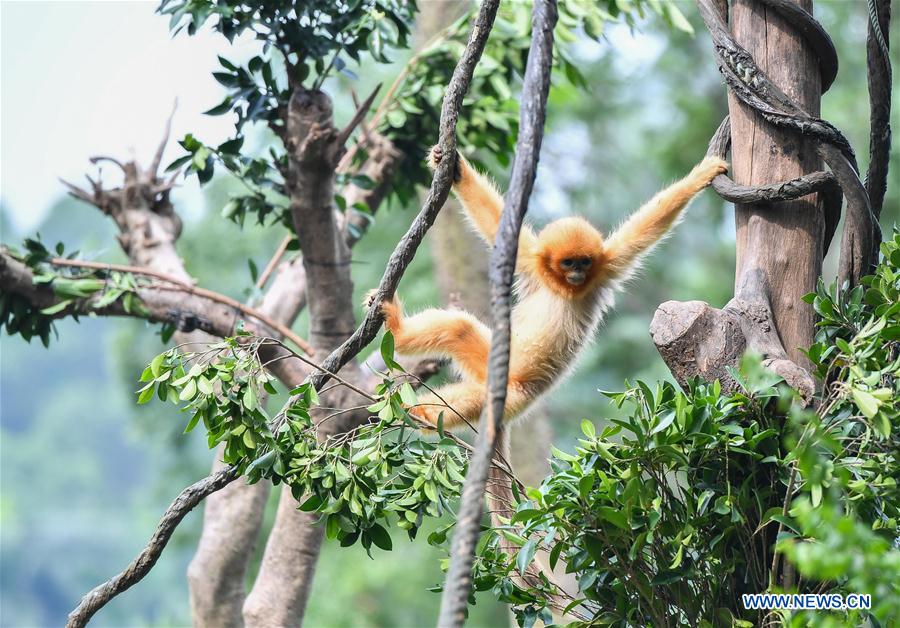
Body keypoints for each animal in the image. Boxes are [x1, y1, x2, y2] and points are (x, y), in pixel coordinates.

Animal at [374, 145, 728, 430]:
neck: (562, 287)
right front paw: (455, 167)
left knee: (475, 386)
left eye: (583, 262)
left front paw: (699, 176)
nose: (577, 273)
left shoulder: (607, 266)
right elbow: (497, 223)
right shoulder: (532, 263)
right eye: (568, 262)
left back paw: (421, 411)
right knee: (458, 329)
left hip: (513, 393)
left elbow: (643, 230)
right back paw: (401, 338)